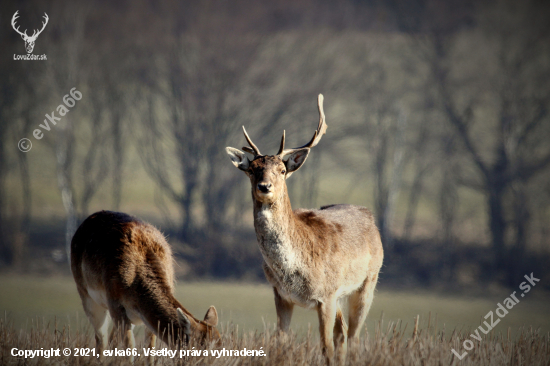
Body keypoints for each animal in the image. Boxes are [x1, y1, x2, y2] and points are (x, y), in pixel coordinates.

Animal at [70, 212, 220, 364]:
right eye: (201, 353)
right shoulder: (115, 303)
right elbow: (129, 348)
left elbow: (149, 349)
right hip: (85, 293)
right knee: (101, 339)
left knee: (111, 339)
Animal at [226, 95, 386, 366]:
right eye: (252, 169)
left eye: (282, 170)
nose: (264, 186)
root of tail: (368, 214)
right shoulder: (281, 295)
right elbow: (280, 343)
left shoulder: (327, 295)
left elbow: (326, 348)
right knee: (343, 333)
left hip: (368, 281)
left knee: (353, 336)